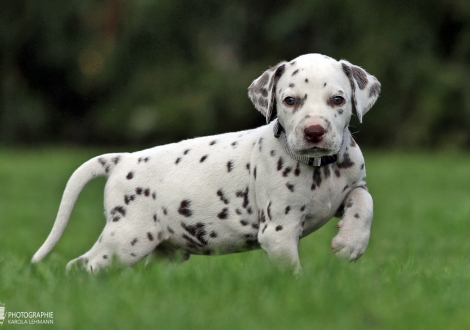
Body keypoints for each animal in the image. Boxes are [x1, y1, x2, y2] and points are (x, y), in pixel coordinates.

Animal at [30, 53, 382, 274]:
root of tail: (122, 159)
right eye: (290, 100)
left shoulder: (352, 187)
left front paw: (350, 243)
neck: (320, 167)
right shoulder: (278, 232)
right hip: (128, 238)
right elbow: (291, 271)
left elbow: (364, 201)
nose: (314, 132)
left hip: (165, 250)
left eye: (338, 100)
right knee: (83, 265)